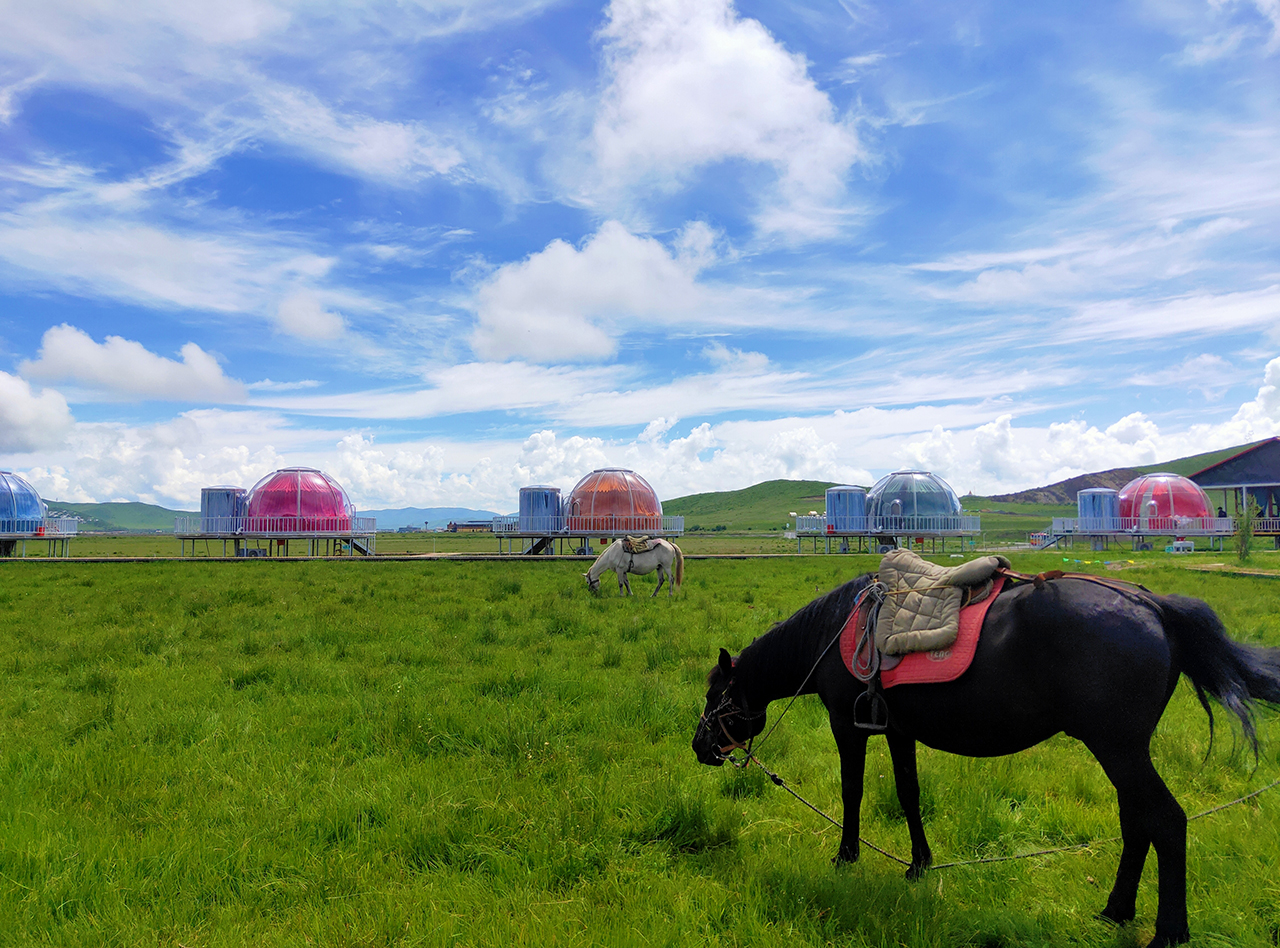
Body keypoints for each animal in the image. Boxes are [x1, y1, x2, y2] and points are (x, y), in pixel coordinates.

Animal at [696, 570, 1274, 946]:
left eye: (714, 694)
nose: (700, 747)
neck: (835, 629)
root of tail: (1152, 605)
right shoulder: (895, 730)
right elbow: (908, 793)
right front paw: (919, 865)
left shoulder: (847, 726)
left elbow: (852, 791)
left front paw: (846, 858)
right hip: (1122, 752)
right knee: (1138, 823)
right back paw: (1114, 912)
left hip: (1119, 749)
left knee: (1167, 821)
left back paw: (1169, 933)